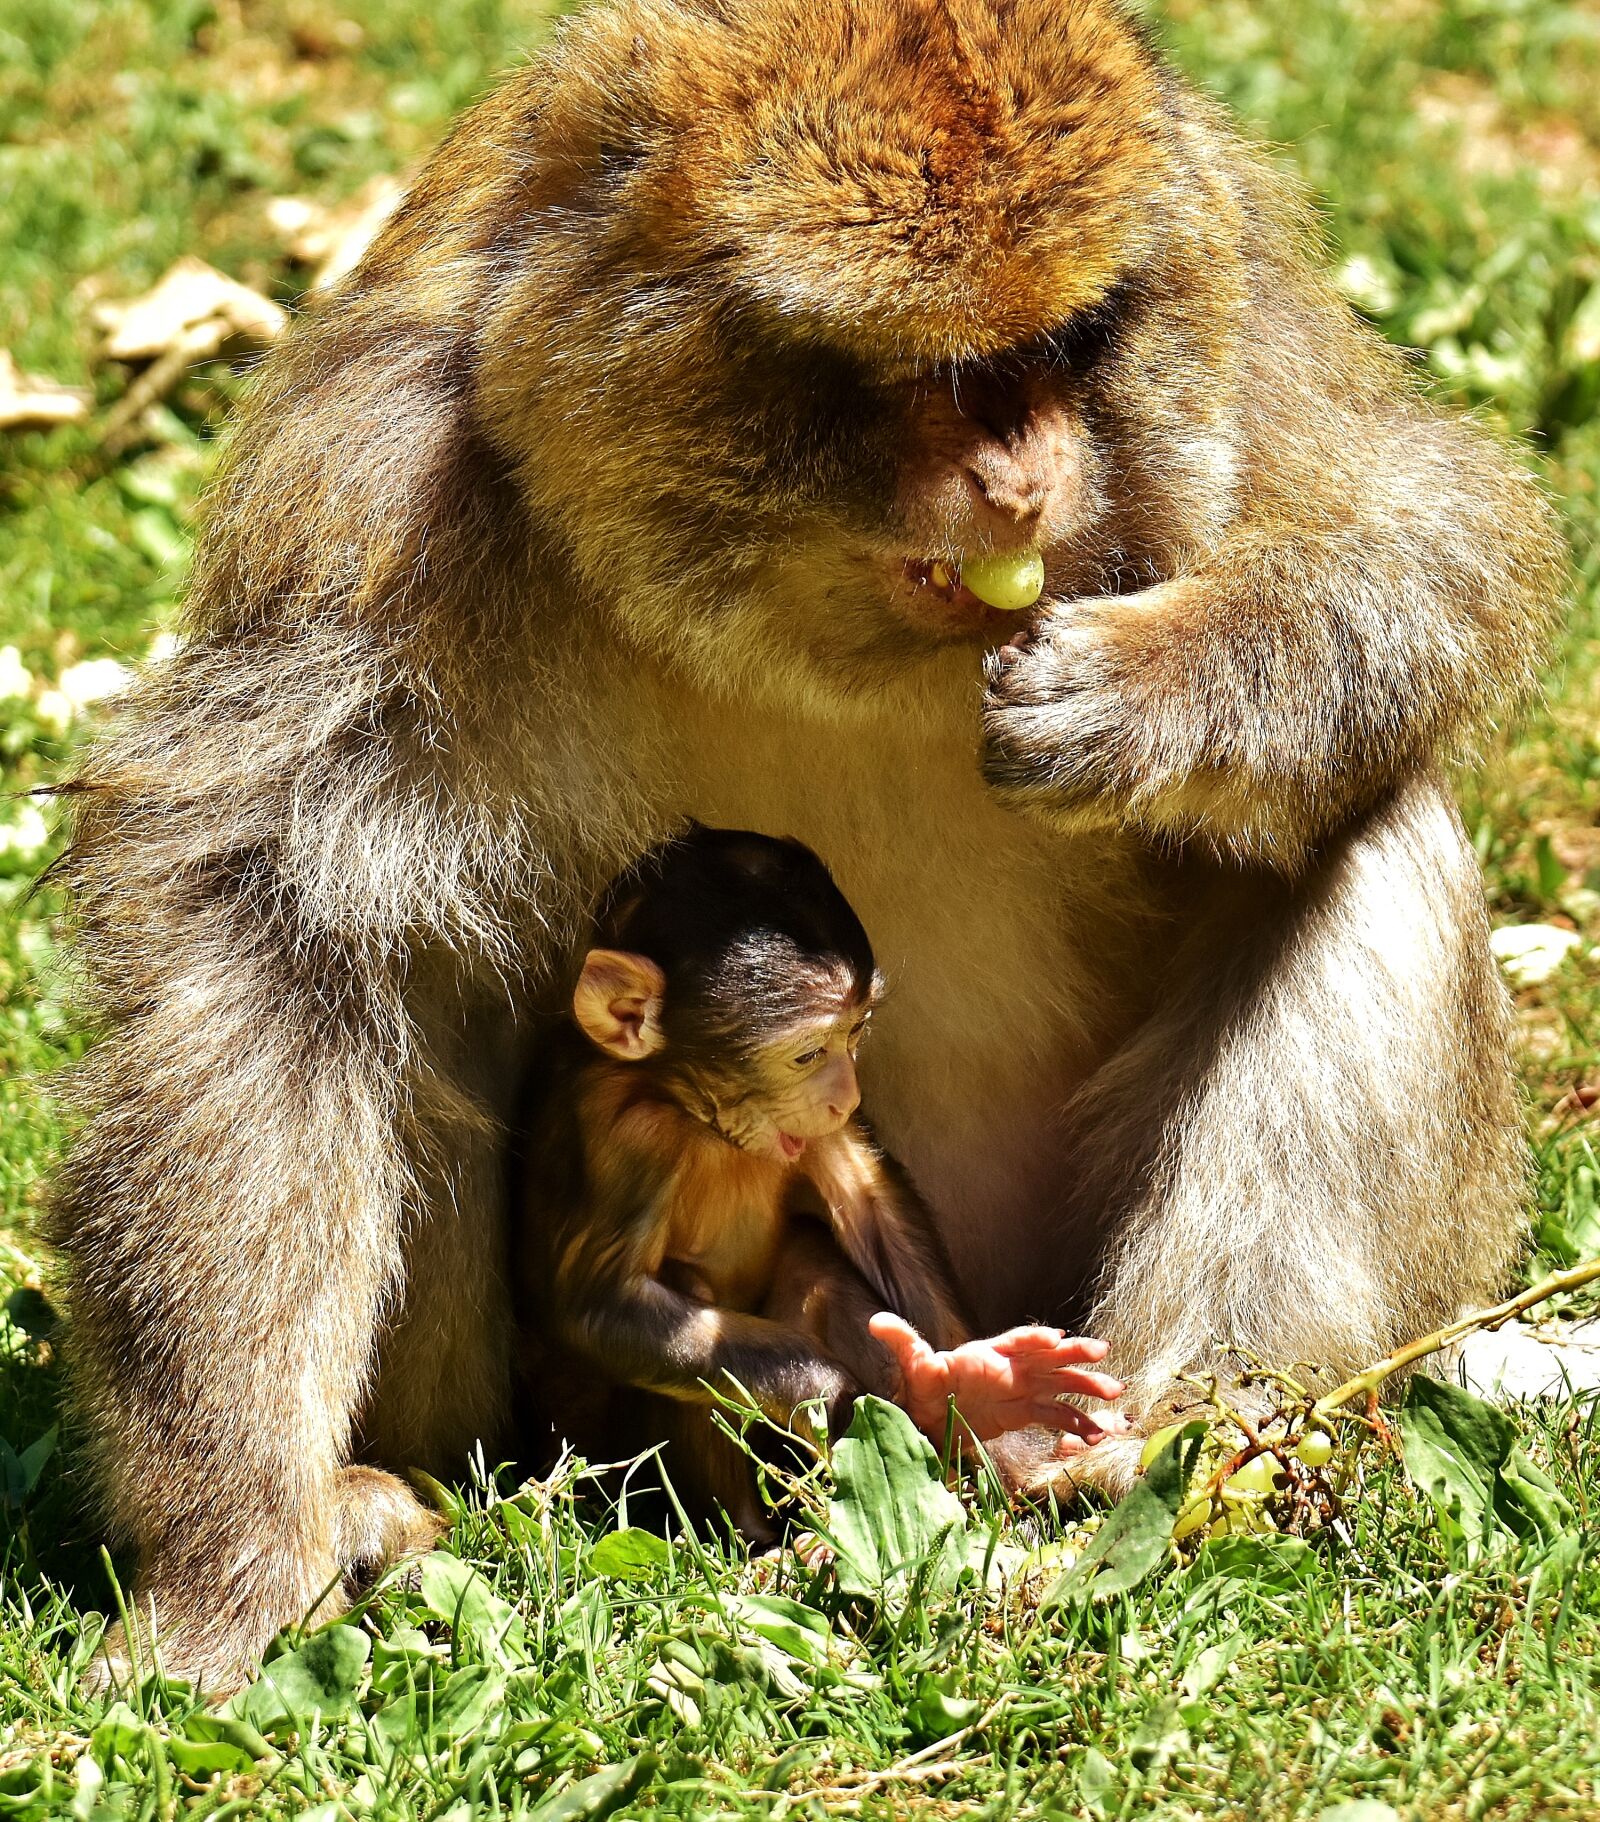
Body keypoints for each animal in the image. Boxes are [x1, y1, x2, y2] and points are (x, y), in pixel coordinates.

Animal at [514, 825, 1125, 1536]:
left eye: (856, 1030)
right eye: (808, 1054)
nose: (845, 1093)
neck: (689, 1109)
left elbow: (870, 1208)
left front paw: (977, 1392)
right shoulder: (623, 1132)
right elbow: (599, 1305)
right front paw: (843, 1396)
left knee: (813, 1263)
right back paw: (758, 1536)